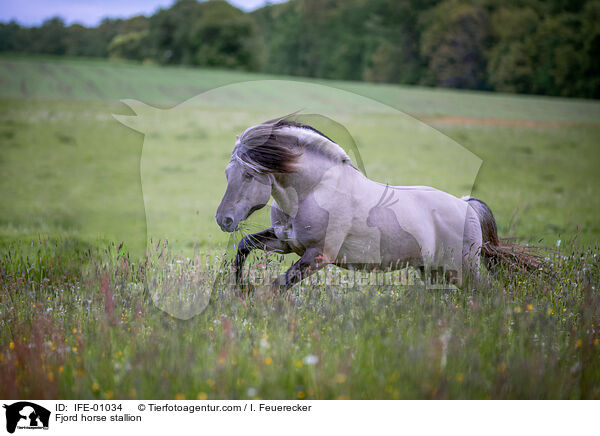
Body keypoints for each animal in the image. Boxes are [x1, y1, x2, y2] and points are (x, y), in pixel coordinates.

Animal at [218, 114, 536, 292]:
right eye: (226, 173)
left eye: (248, 174)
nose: (224, 220)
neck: (313, 191)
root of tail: (466, 205)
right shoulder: (286, 243)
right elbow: (244, 246)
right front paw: (240, 289)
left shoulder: (318, 255)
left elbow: (277, 287)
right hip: (433, 270)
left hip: (463, 269)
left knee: (490, 294)